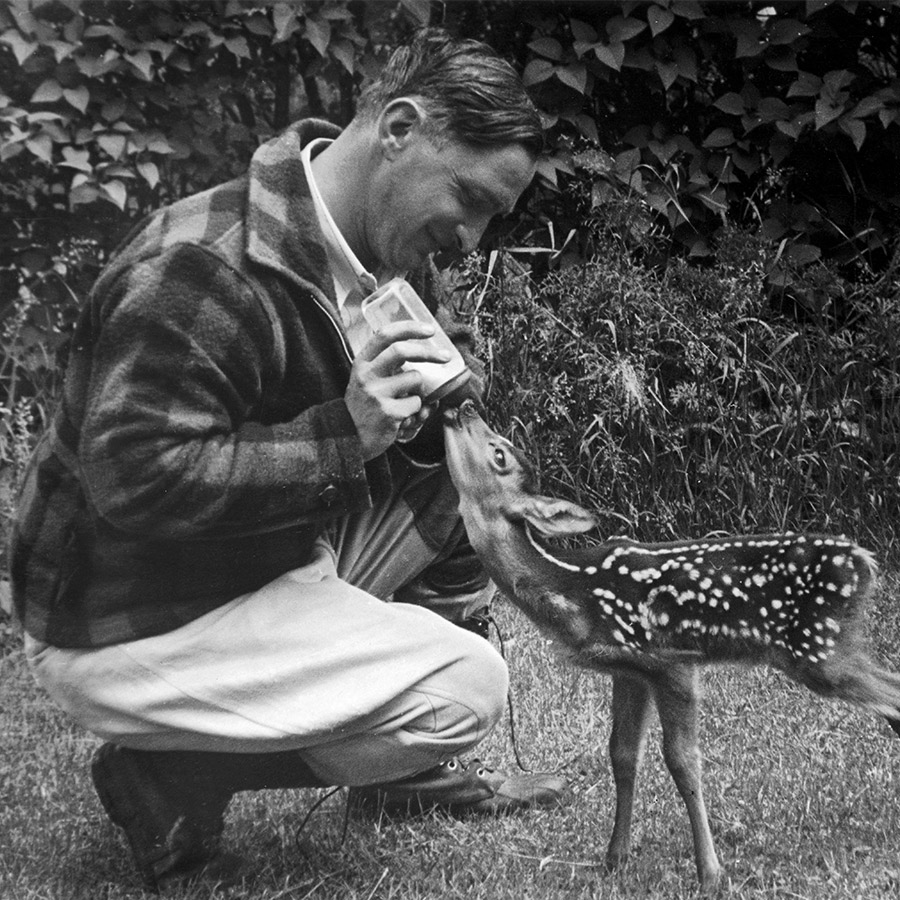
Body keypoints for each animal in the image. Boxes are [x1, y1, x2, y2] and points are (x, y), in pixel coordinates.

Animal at [442, 400, 900, 884]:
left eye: (499, 454)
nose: (460, 406)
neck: (574, 592)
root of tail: (866, 562)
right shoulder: (627, 668)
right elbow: (622, 755)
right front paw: (614, 858)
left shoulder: (672, 660)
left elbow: (682, 761)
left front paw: (710, 872)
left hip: (820, 648)